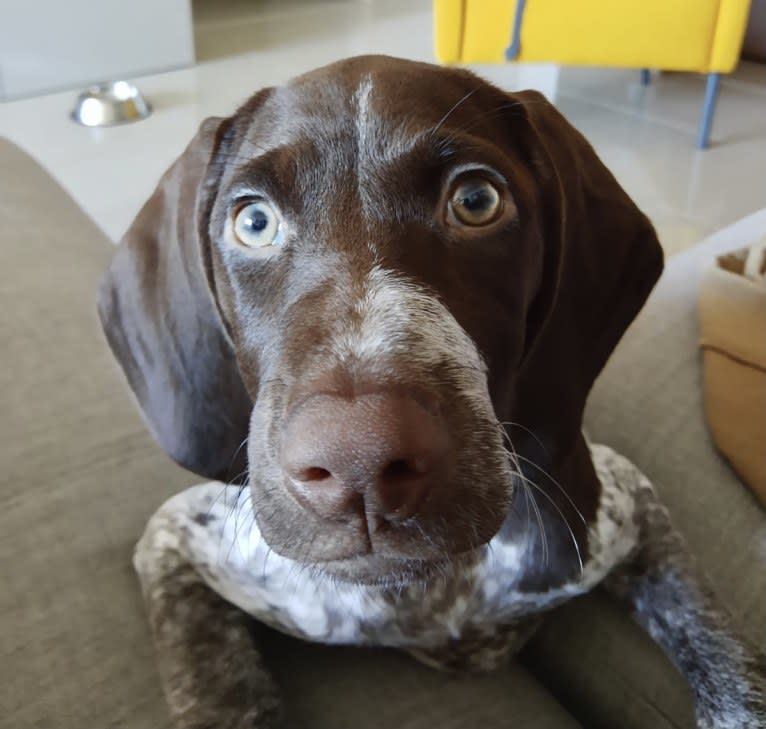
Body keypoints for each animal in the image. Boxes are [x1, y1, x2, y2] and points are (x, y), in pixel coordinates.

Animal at [99, 54, 764, 724]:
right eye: (254, 222)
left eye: (476, 200)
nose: (358, 459)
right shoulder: (175, 540)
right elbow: (218, 687)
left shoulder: (632, 509)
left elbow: (724, 662)